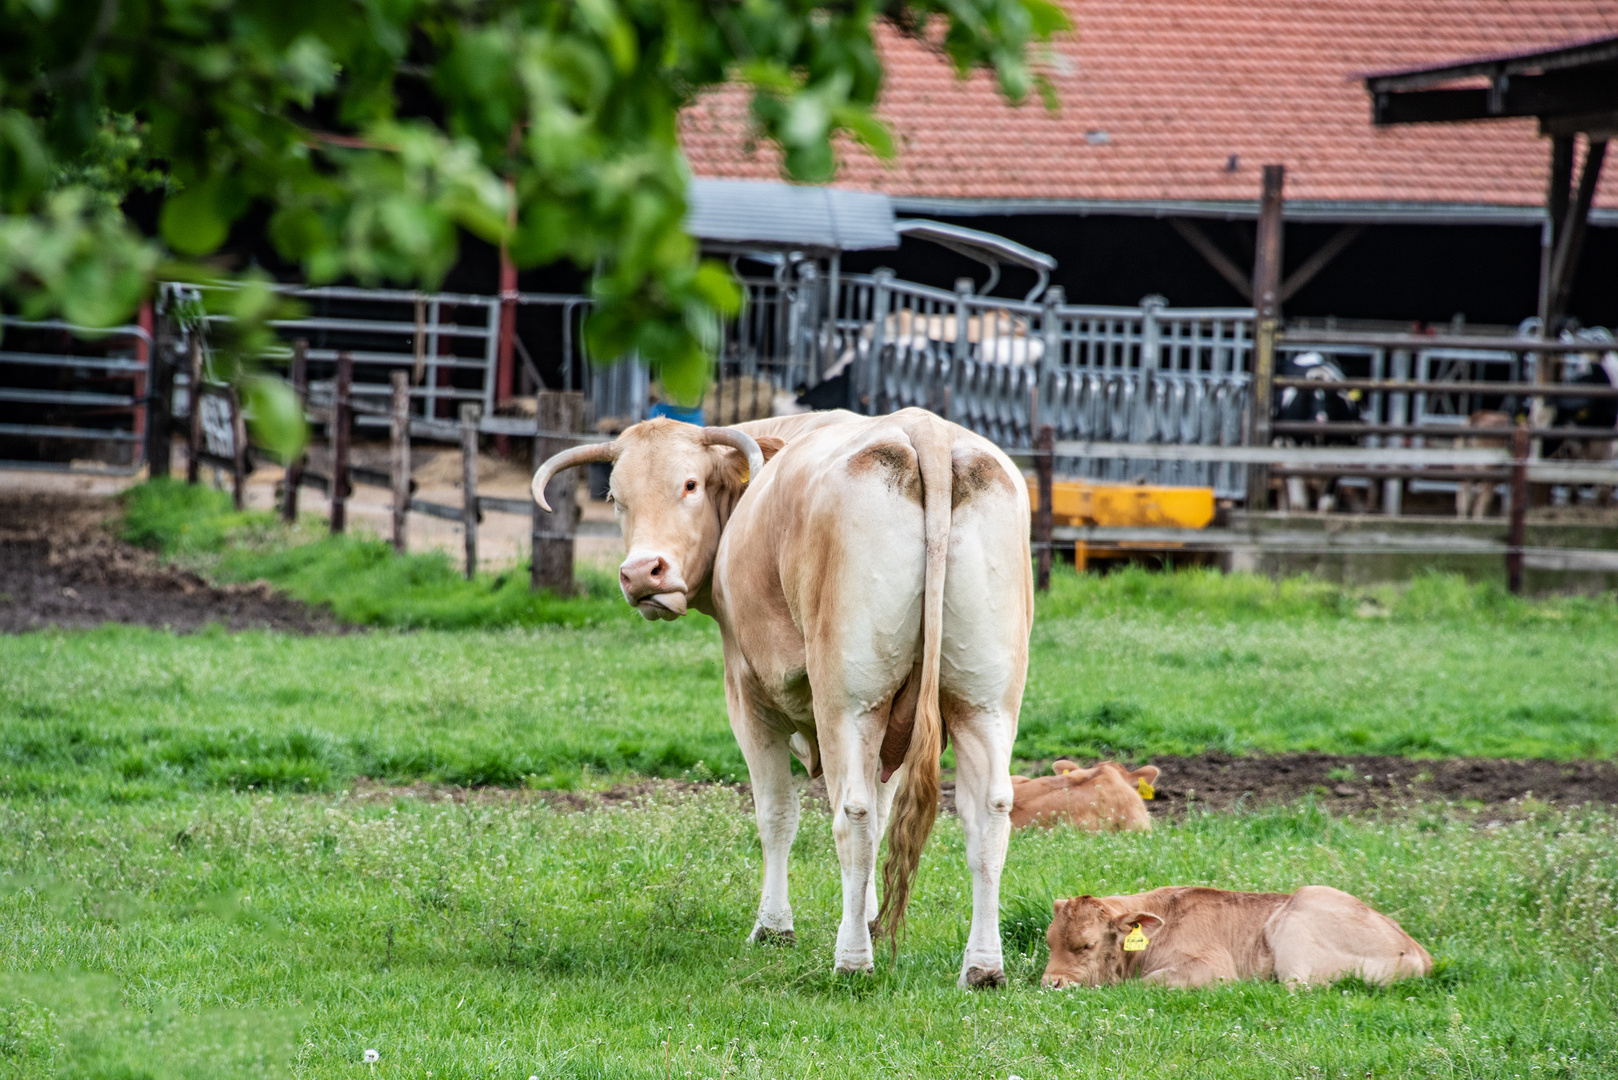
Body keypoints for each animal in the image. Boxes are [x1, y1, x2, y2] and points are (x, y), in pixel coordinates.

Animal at [537, 408, 1029, 990]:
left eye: (690, 484)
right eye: (616, 496)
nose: (641, 573)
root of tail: (924, 431)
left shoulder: (749, 700)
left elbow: (776, 815)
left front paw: (773, 927)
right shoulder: (895, 723)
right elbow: (883, 809)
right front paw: (865, 912)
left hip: (848, 704)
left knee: (854, 816)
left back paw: (852, 960)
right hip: (983, 702)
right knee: (987, 817)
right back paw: (982, 967)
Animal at [1035, 887, 1430, 990]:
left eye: (1087, 945)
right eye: (1049, 941)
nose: (1051, 983)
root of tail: (1420, 952)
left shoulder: (1212, 968)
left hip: (1302, 912)